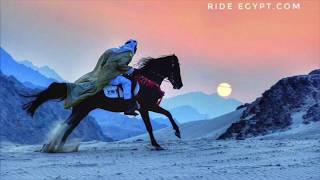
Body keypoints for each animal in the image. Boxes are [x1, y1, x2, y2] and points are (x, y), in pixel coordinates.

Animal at [23, 54, 182, 152]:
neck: (147, 81)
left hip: (80, 111)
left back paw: (57, 146)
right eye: (175, 67)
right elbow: (152, 124)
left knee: (67, 126)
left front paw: (174, 133)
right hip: (82, 111)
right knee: (68, 126)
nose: (179, 85)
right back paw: (56, 147)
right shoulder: (146, 107)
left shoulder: (150, 107)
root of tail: (75, 87)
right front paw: (161, 142)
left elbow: (166, 114)